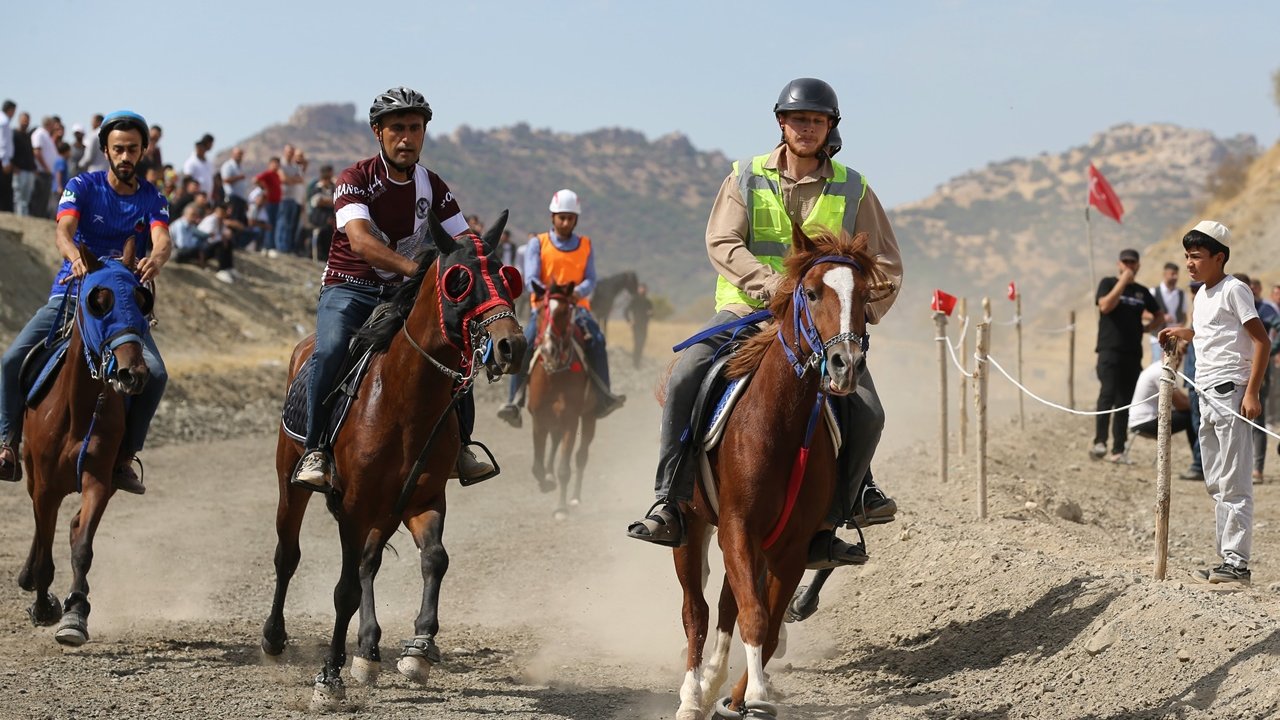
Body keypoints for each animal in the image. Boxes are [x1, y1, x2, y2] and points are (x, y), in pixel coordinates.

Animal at [19, 239, 153, 645]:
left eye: (141, 300)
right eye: (100, 301)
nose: (132, 373)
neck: (77, 411)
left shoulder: (97, 477)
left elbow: (82, 547)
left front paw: (75, 613)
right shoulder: (45, 487)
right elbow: (45, 551)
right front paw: (45, 606)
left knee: (75, 526)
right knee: (41, 532)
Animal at [262, 211, 527, 707]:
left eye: (507, 276)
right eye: (459, 281)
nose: (511, 346)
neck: (405, 400)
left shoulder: (423, 498)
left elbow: (435, 559)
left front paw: (418, 649)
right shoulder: (354, 506)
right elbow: (344, 590)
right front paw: (329, 678)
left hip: (386, 508)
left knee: (370, 562)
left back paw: (368, 650)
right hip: (292, 484)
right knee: (288, 555)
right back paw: (274, 638)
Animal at [524, 279, 593, 515]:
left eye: (564, 311)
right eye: (541, 310)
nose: (548, 348)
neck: (554, 374)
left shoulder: (571, 420)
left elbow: (565, 468)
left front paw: (561, 508)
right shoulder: (538, 418)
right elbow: (536, 466)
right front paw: (546, 482)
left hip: (589, 418)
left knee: (581, 457)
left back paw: (574, 498)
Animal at [670, 226, 890, 712]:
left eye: (866, 295)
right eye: (811, 292)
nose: (846, 365)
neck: (781, 428)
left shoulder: (790, 546)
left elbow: (767, 626)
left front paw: (745, 700)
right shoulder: (736, 526)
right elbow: (753, 616)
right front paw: (751, 695)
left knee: (726, 605)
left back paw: (713, 684)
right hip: (691, 525)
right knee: (696, 610)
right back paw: (691, 696)